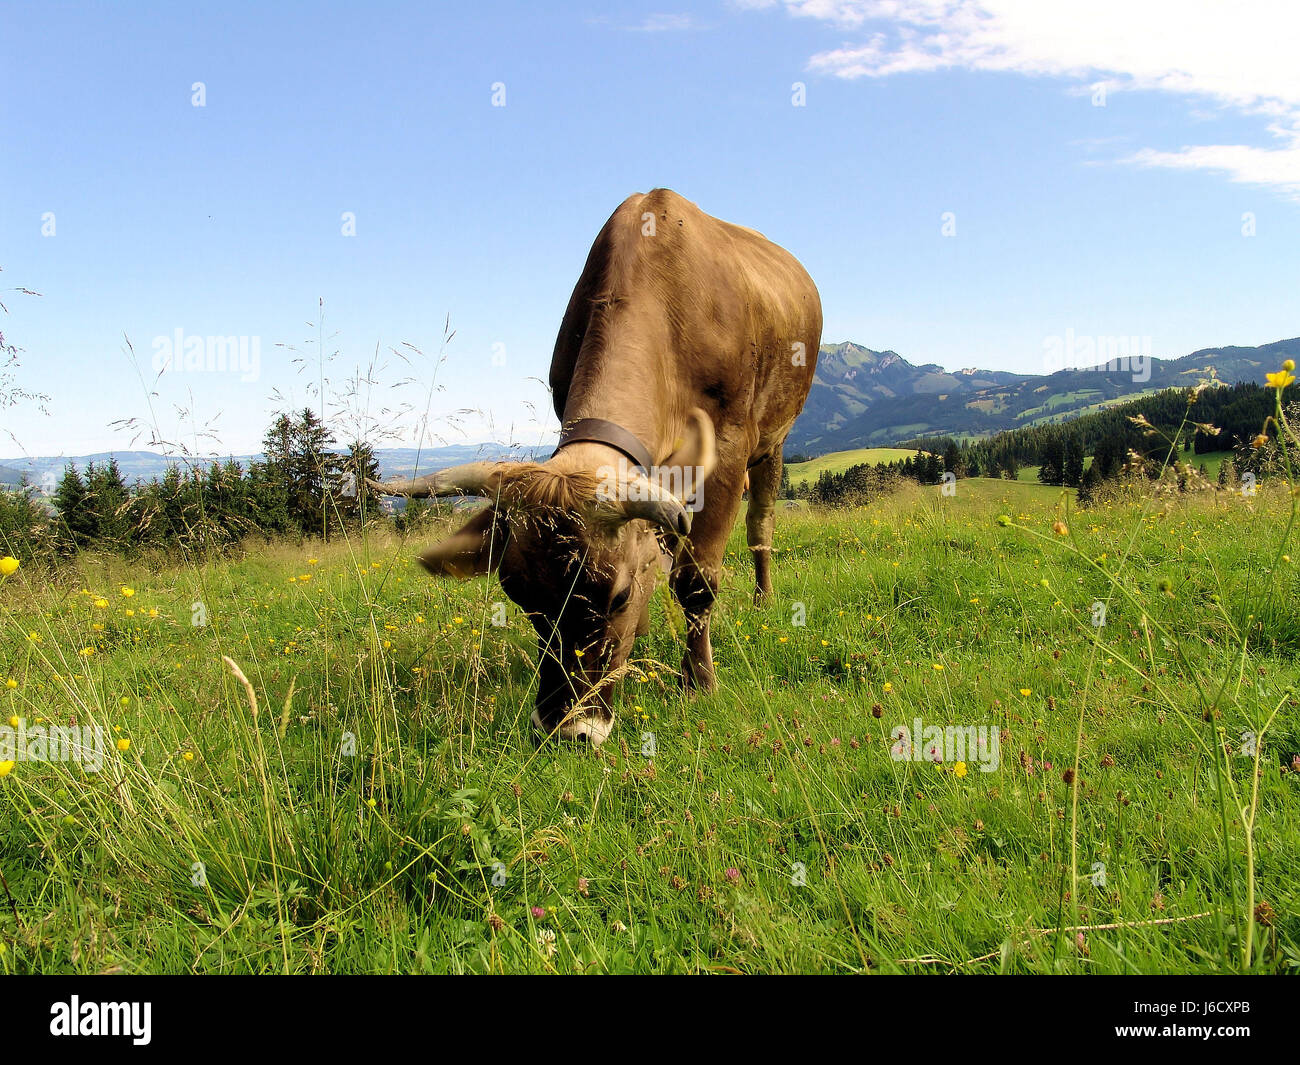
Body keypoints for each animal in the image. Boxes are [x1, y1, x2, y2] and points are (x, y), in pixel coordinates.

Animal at [379, 187, 821, 743]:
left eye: (617, 597)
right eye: (519, 595)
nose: (567, 730)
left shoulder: (730, 444)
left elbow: (696, 579)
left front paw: (698, 682)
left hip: (773, 440)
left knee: (760, 524)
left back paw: (762, 600)